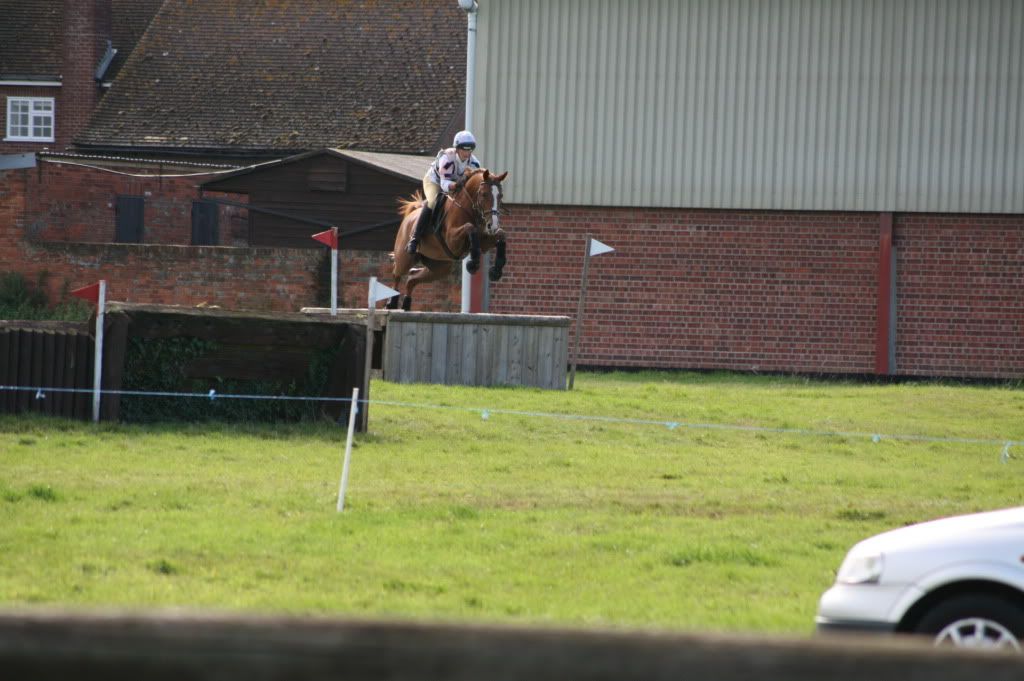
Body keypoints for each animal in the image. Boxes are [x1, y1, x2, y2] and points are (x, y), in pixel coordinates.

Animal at [388, 168, 509, 311]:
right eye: (484, 194)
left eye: (500, 196)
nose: (492, 225)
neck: (467, 208)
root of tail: (409, 216)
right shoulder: (452, 241)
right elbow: (470, 227)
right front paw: (472, 264)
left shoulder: (484, 242)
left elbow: (501, 234)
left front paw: (496, 270)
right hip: (405, 258)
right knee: (397, 274)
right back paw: (391, 304)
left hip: (439, 268)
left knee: (412, 279)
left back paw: (406, 305)